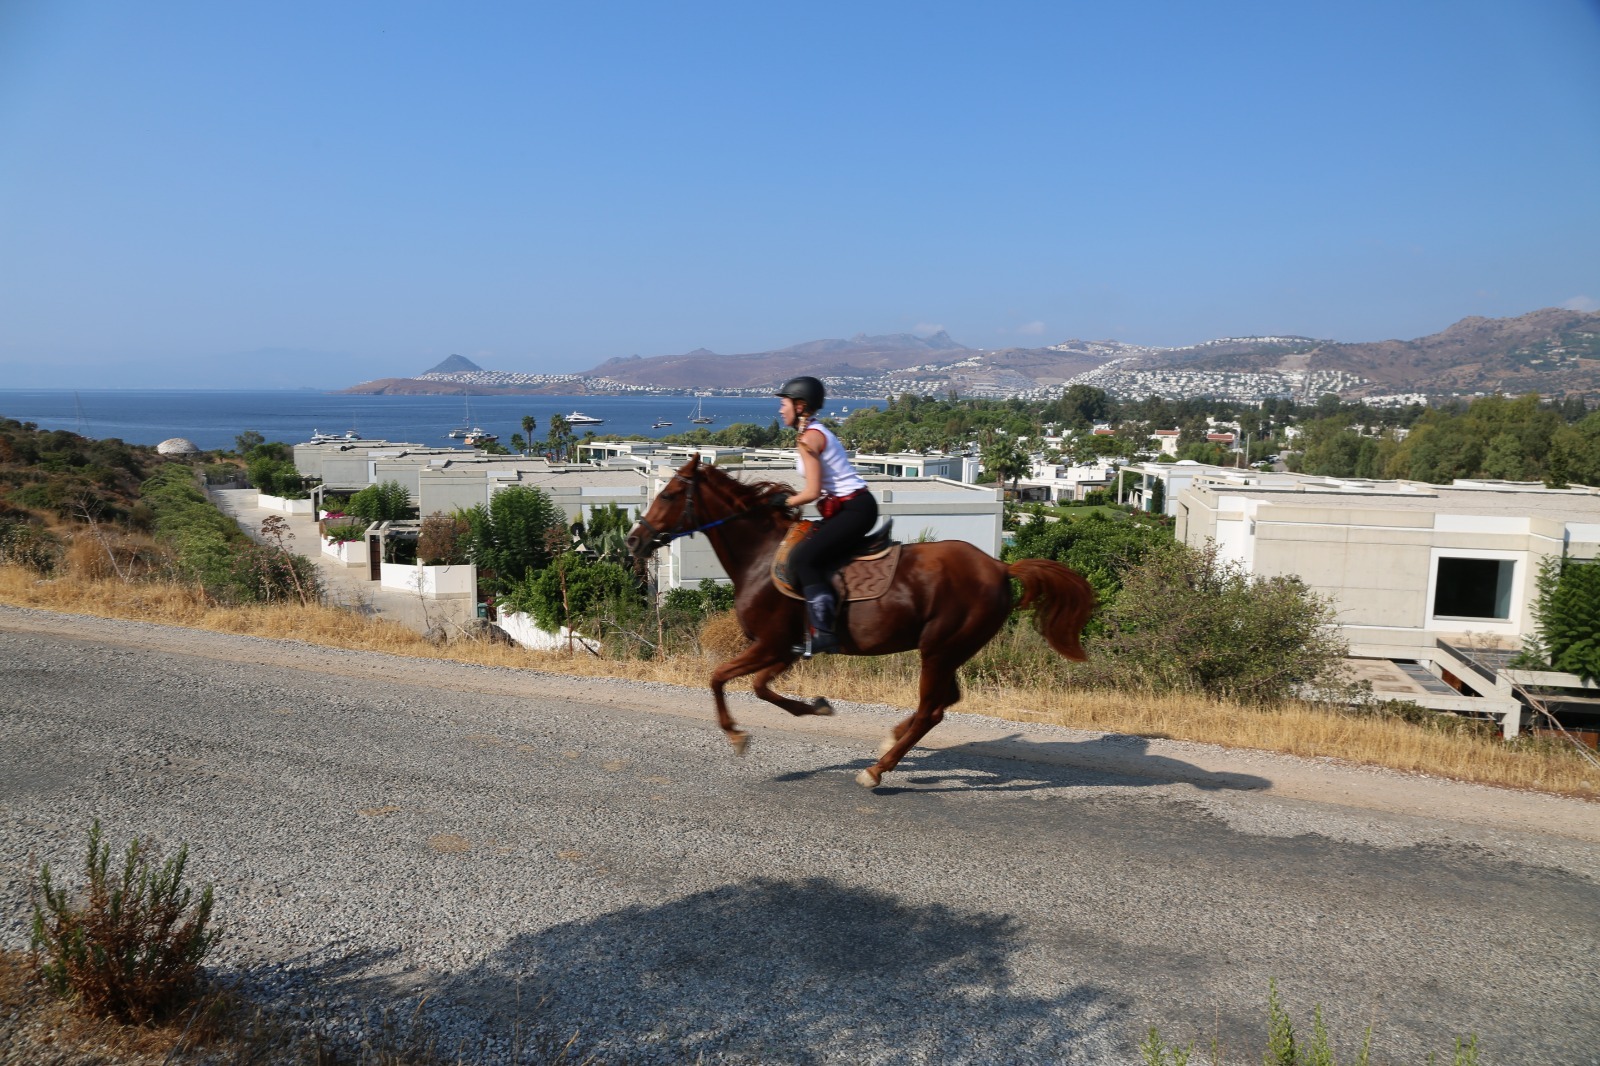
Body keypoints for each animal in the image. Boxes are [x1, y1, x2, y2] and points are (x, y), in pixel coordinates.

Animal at [624, 457, 1095, 789]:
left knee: (931, 709)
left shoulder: (771, 643)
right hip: (950, 651)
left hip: (940, 649)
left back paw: (877, 769)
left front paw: (737, 735)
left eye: (668, 495)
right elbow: (759, 687)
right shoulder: (784, 648)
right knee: (944, 702)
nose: (634, 539)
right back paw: (891, 739)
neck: (761, 555)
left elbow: (719, 678)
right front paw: (815, 706)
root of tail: (1000, 567)